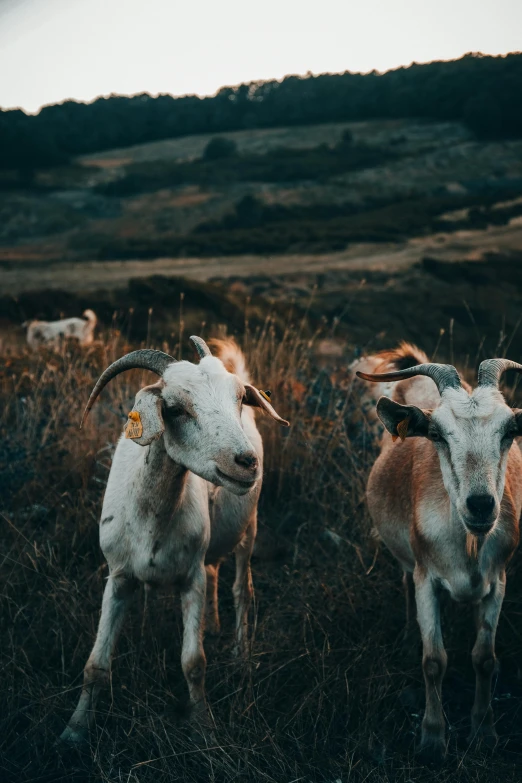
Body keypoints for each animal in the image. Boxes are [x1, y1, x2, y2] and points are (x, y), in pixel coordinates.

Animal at [62, 334, 288, 744]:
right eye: (174, 408)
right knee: (214, 570)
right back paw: (211, 625)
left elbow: (193, 662)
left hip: (249, 527)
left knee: (241, 589)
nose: (246, 462)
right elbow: (96, 665)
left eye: (238, 398)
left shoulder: (190, 579)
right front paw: (73, 731)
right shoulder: (118, 576)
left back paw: (241, 654)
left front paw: (204, 727)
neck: (152, 519)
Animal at [356, 346, 520, 764]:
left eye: (511, 430)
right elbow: (434, 660)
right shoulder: (426, 578)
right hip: (406, 560)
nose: (481, 505)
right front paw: (432, 739)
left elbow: (484, 658)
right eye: (436, 434)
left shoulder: (498, 581)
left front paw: (484, 731)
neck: (468, 544)